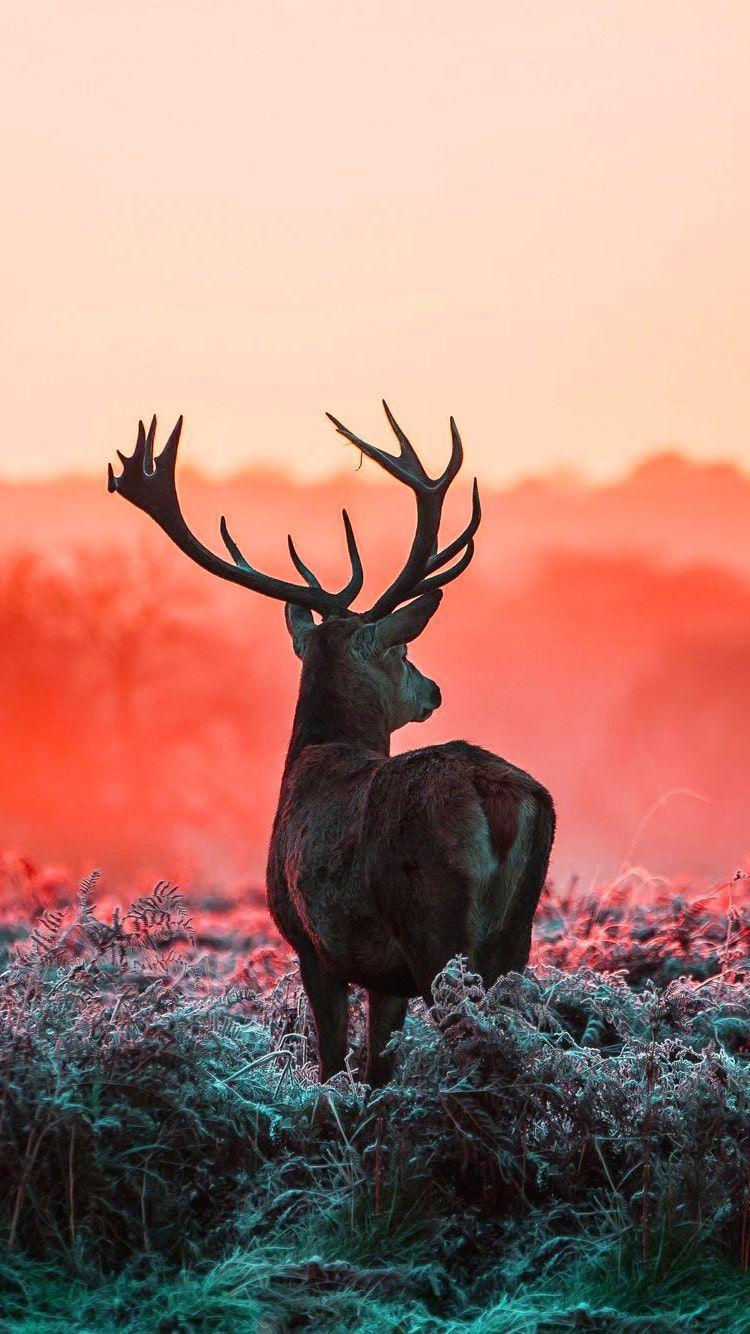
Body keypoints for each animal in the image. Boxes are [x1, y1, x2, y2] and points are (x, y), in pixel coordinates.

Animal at [108, 404, 555, 1087]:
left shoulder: (312, 943)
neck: (313, 755)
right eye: (402, 649)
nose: (433, 689)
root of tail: (499, 796)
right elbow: (376, 1068)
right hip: (515, 935)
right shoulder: (383, 975)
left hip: (434, 925)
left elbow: (331, 1064)